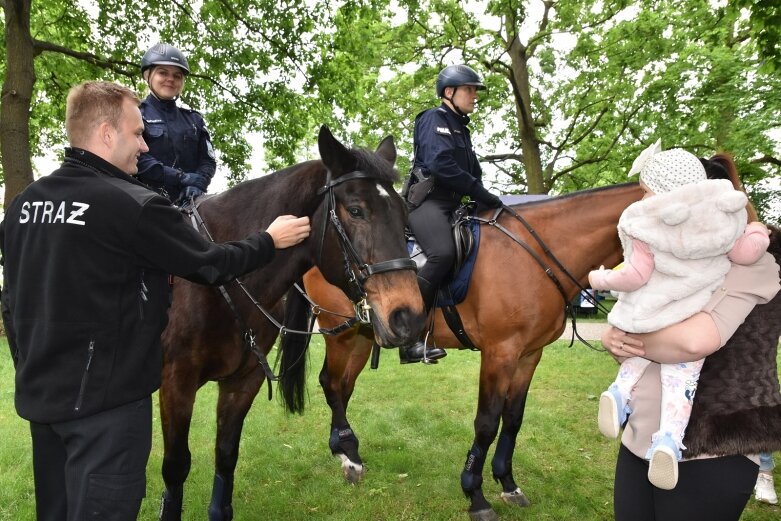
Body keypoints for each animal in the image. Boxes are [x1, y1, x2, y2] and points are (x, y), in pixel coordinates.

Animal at [159, 127, 426, 520]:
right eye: (356, 210)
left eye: (404, 212)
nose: (408, 315)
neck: (218, 273)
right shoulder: (176, 383)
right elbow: (176, 467)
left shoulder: (243, 381)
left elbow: (226, 455)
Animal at [284, 184, 644, 520]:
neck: (533, 253)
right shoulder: (500, 353)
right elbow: (486, 423)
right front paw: (475, 494)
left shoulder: (529, 355)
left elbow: (513, 418)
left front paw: (508, 484)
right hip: (342, 333)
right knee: (332, 383)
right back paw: (349, 460)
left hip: (360, 334)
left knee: (343, 386)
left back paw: (347, 450)